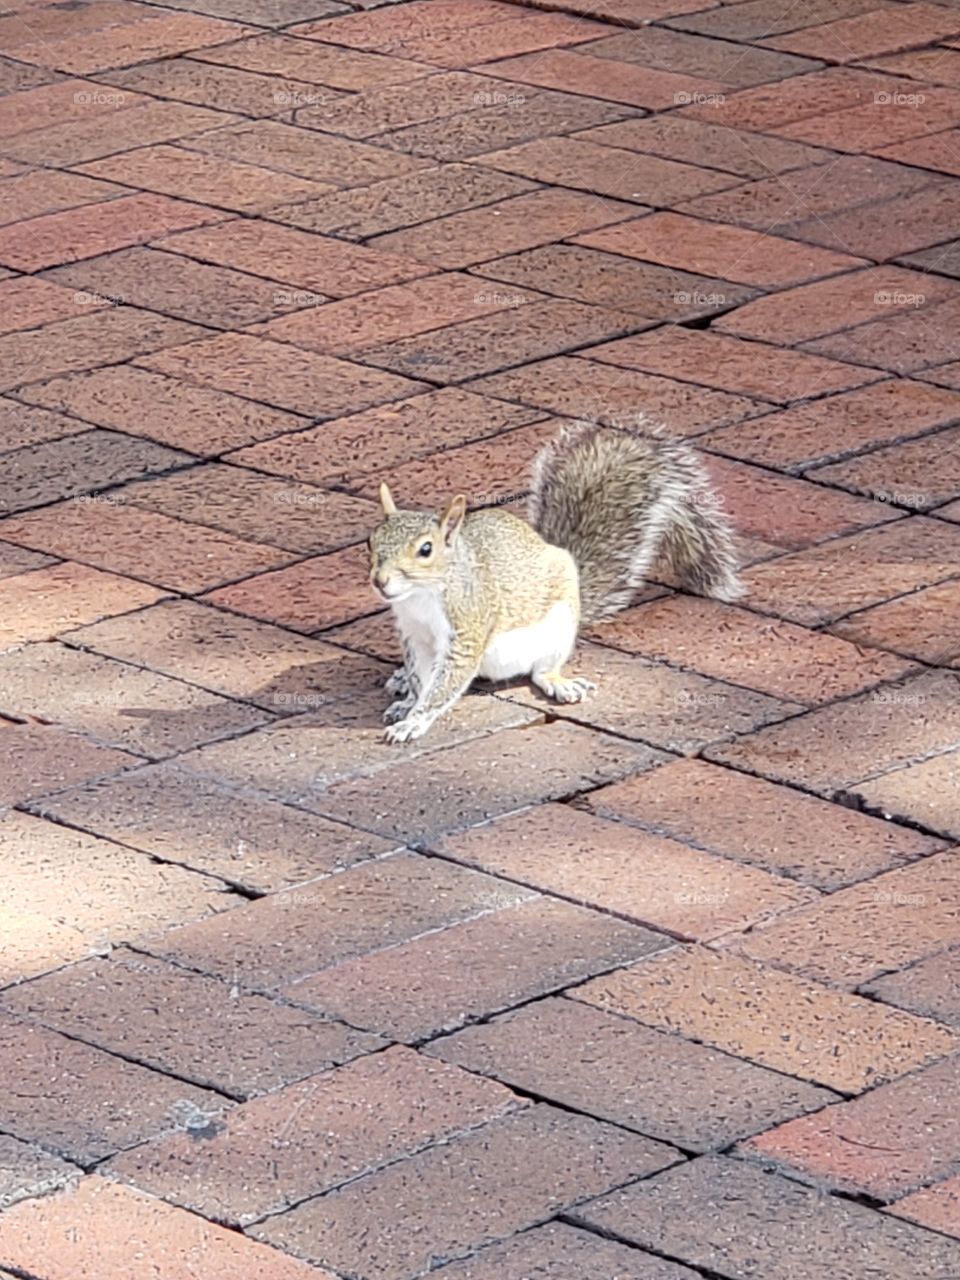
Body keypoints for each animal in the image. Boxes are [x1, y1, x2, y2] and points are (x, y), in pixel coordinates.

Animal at [368, 417, 743, 744]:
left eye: (426, 550)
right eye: (371, 541)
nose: (380, 581)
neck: (420, 596)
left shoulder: (467, 628)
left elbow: (444, 683)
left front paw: (413, 722)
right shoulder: (414, 636)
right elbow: (421, 678)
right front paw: (408, 702)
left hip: (558, 627)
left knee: (541, 670)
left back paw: (559, 683)